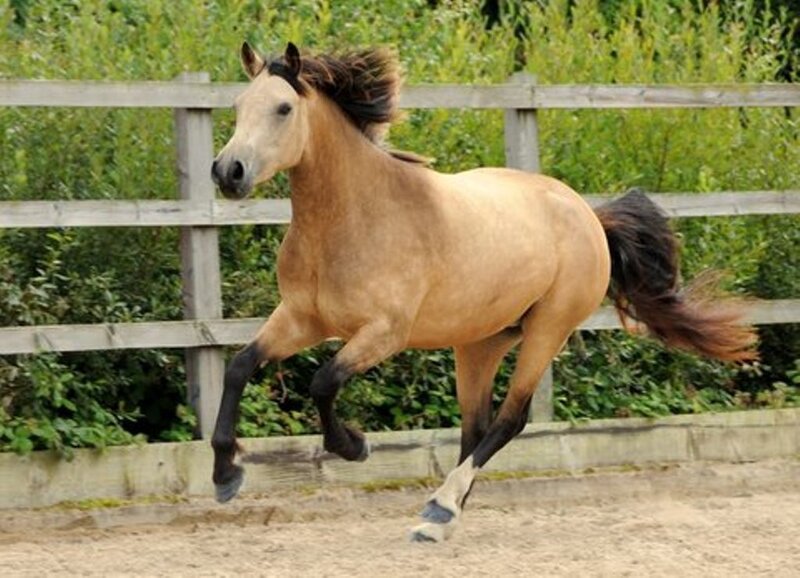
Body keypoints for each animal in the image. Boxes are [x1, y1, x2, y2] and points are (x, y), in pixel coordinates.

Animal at [210, 42, 757, 542]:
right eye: (237, 104)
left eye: (283, 108)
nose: (228, 172)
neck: (355, 218)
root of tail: (589, 215)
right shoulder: (301, 319)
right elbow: (239, 367)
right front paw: (226, 475)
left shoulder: (383, 333)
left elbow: (322, 383)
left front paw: (355, 446)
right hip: (480, 341)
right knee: (475, 426)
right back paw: (441, 516)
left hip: (547, 330)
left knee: (509, 420)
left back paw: (441, 507)